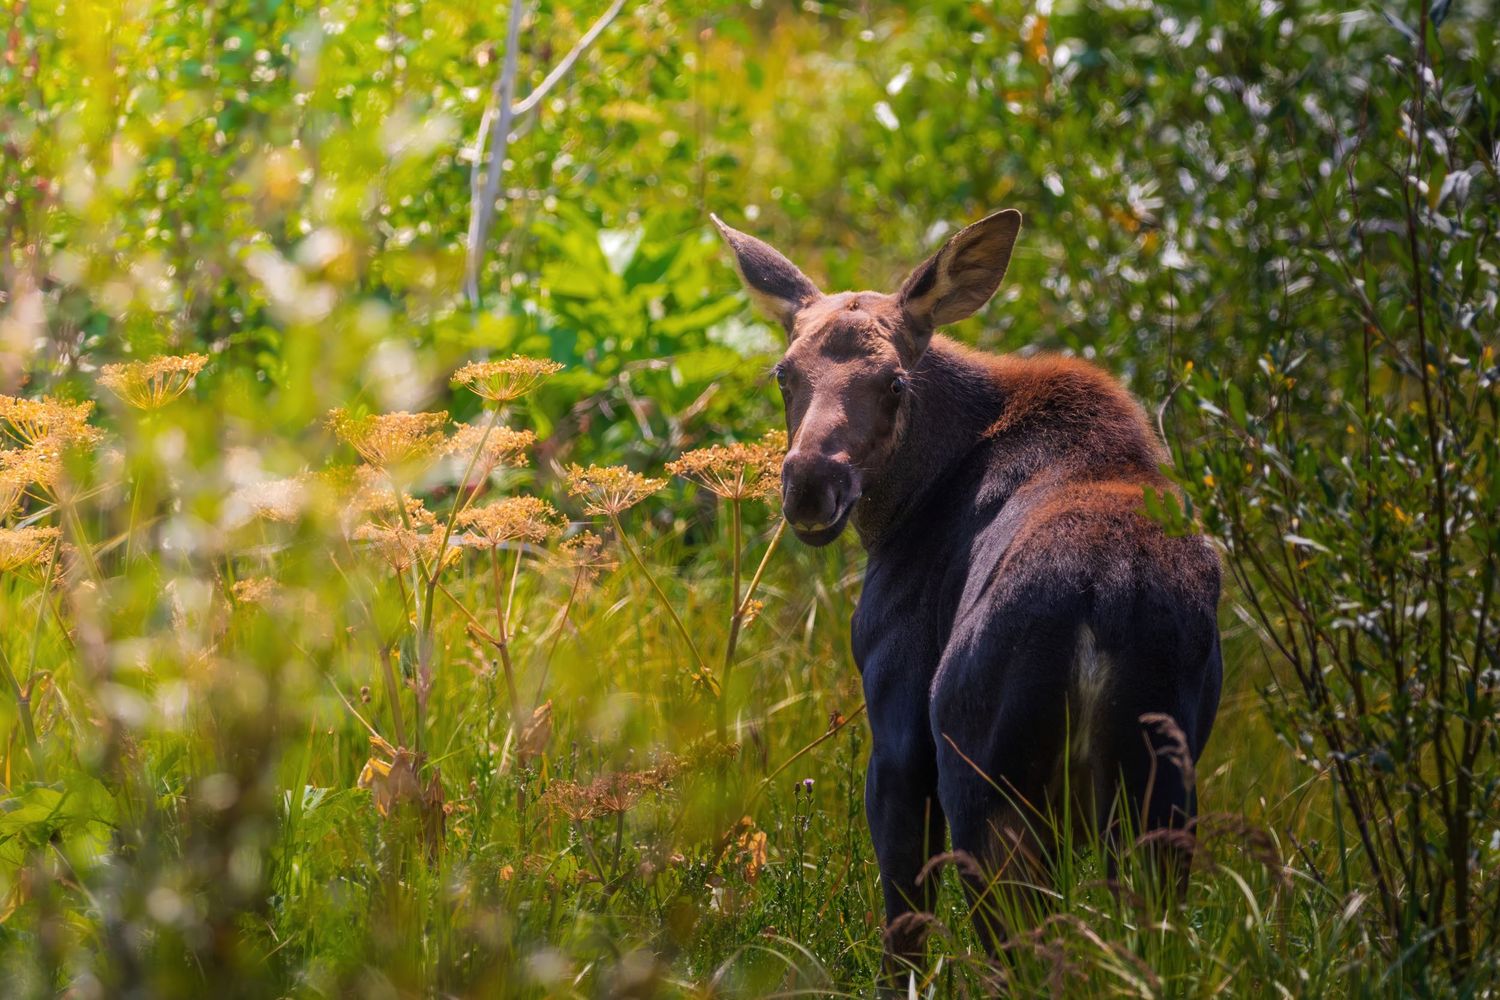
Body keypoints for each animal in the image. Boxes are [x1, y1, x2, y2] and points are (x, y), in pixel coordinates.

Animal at [711, 209, 1223, 979]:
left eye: (895, 382)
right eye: (783, 373)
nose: (808, 484)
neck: (906, 503)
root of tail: (1108, 600)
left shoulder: (897, 724)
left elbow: (903, 928)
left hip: (984, 773)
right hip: (1160, 792)